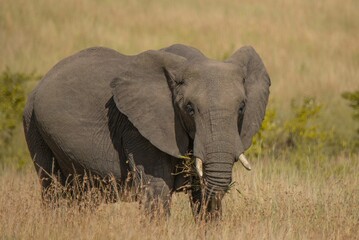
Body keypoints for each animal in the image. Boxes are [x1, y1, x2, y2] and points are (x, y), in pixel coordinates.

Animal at [23, 43, 270, 219]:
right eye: (189, 108)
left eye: (241, 107)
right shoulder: (137, 129)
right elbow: (157, 190)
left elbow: (202, 191)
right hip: (34, 126)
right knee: (53, 190)